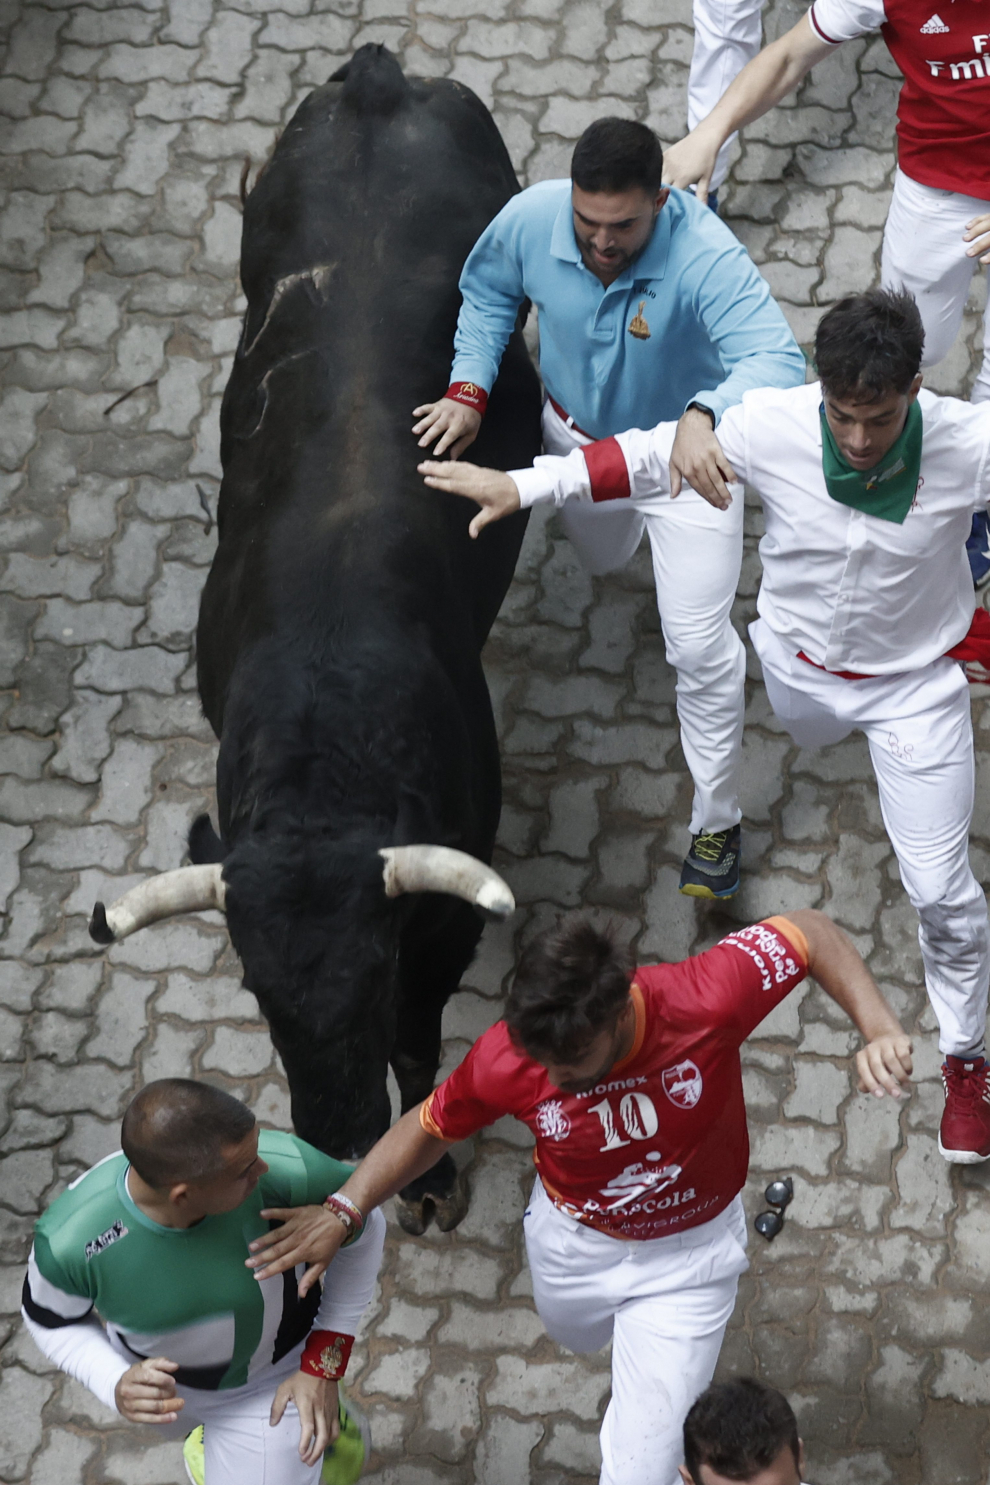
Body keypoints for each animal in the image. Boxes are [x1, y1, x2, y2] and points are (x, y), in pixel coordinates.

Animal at [187, 49, 543, 1229]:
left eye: (374, 972)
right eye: (256, 990)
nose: (336, 1135)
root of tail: (379, 78)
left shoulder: (440, 929)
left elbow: (419, 1050)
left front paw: (423, 1174)